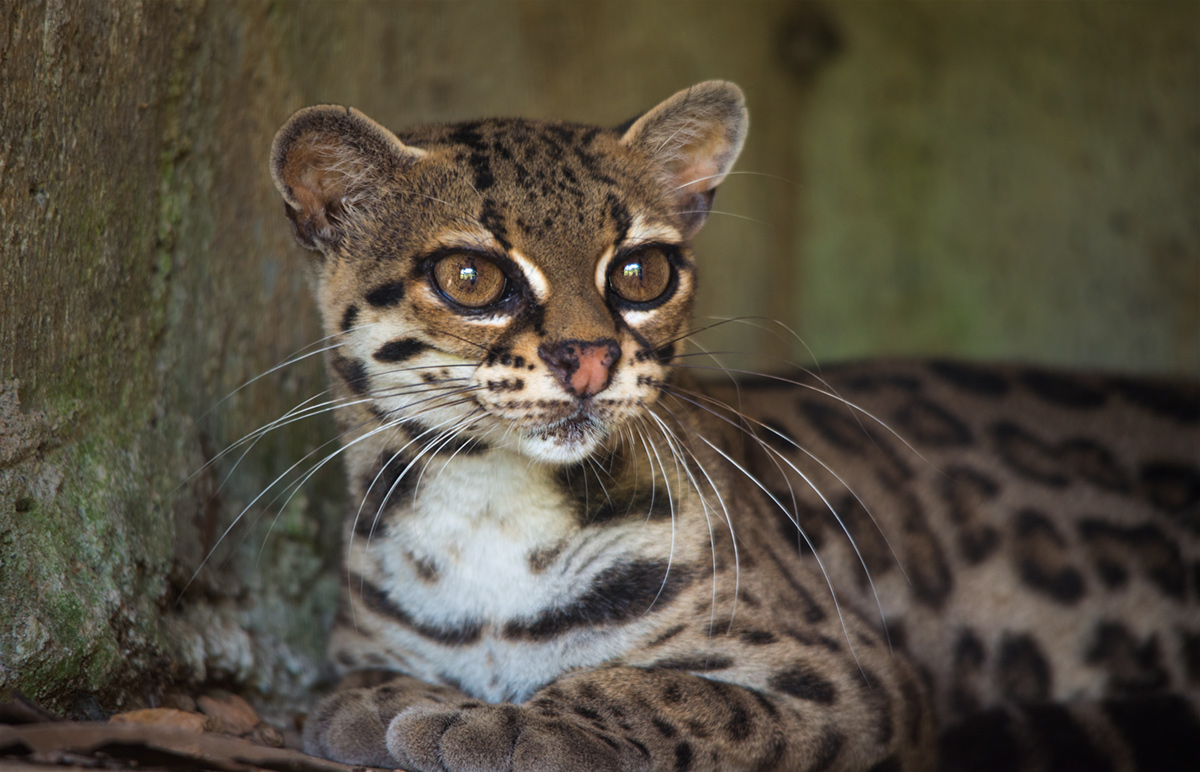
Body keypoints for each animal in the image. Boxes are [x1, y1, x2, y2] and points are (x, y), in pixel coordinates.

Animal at [270, 81, 1200, 768]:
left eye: (641, 272)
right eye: (470, 277)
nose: (589, 357)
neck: (491, 508)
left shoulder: (855, 677)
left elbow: (674, 693)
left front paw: (502, 723)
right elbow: (365, 680)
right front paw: (390, 698)